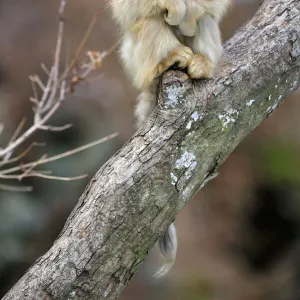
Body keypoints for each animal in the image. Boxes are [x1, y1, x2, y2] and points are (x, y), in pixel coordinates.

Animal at [109, 0, 230, 276]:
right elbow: (133, 9)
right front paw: (175, 11)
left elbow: (209, 8)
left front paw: (189, 15)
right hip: (135, 62)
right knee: (149, 23)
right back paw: (166, 62)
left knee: (206, 19)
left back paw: (201, 65)